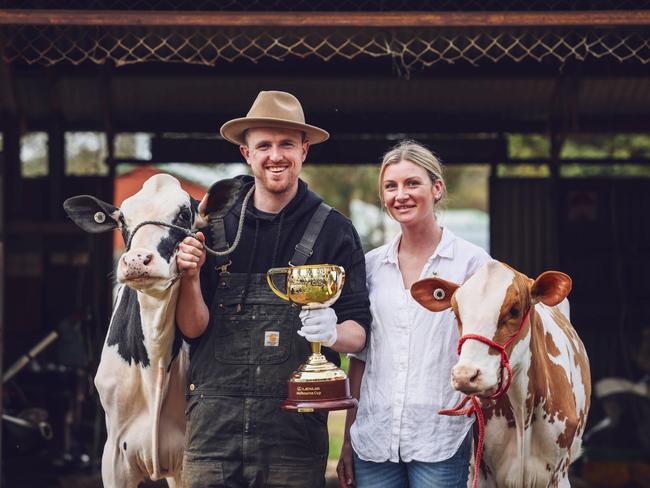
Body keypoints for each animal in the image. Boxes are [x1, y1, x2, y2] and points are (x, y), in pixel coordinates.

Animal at [412, 262, 588, 488]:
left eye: (514, 310)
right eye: (456, 313)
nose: (464, 375)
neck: (522, 410)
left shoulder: (559, 475)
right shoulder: (482, 475)